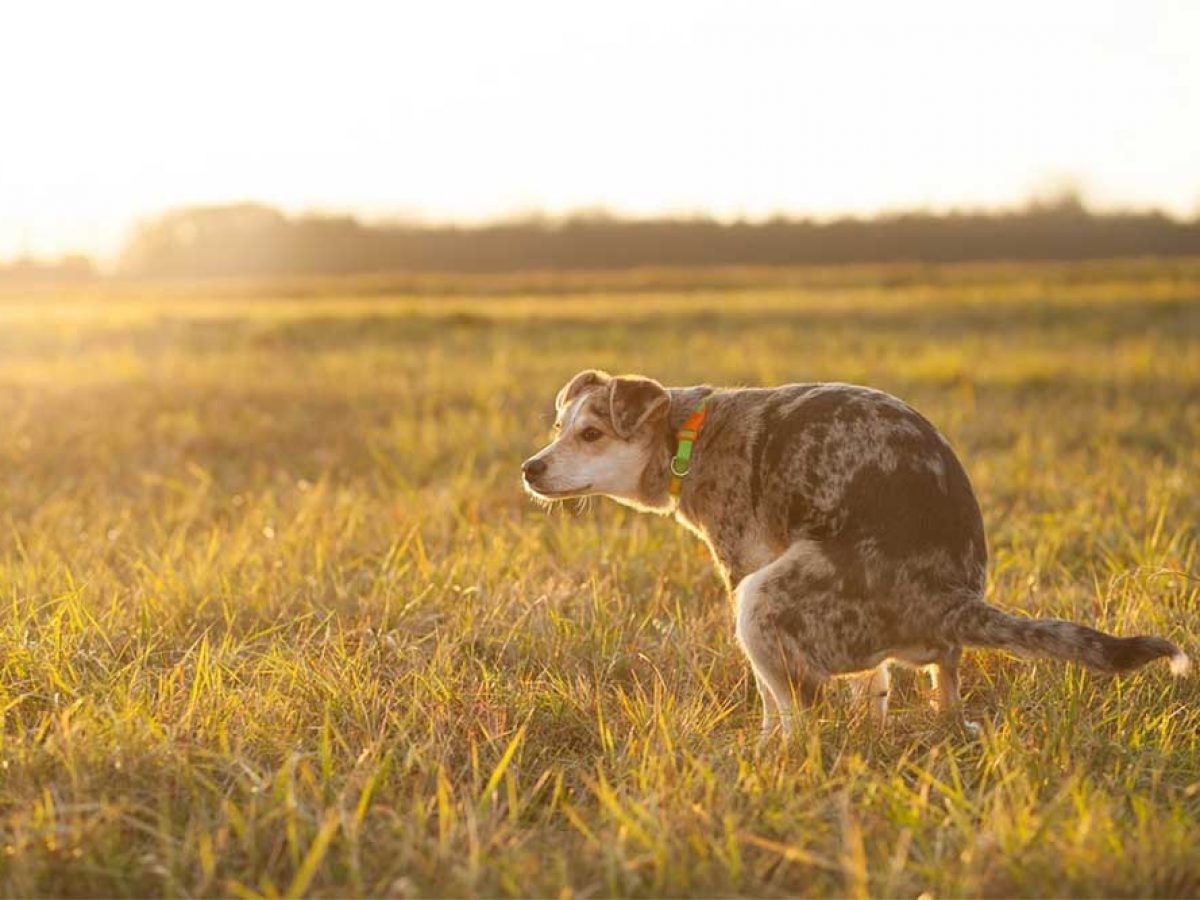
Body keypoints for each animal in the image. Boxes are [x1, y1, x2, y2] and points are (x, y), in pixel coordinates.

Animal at [525, 369, 1190, 734]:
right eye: (558, 428)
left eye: (591, 433)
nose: (530, 468)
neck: (689, 435)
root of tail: (948, 598)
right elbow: (872, 688)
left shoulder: (743, 566)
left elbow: (771, 702)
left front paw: (763, 748)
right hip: (916, 652)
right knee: (936, 688)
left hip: (762, 599)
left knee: (801, 714)